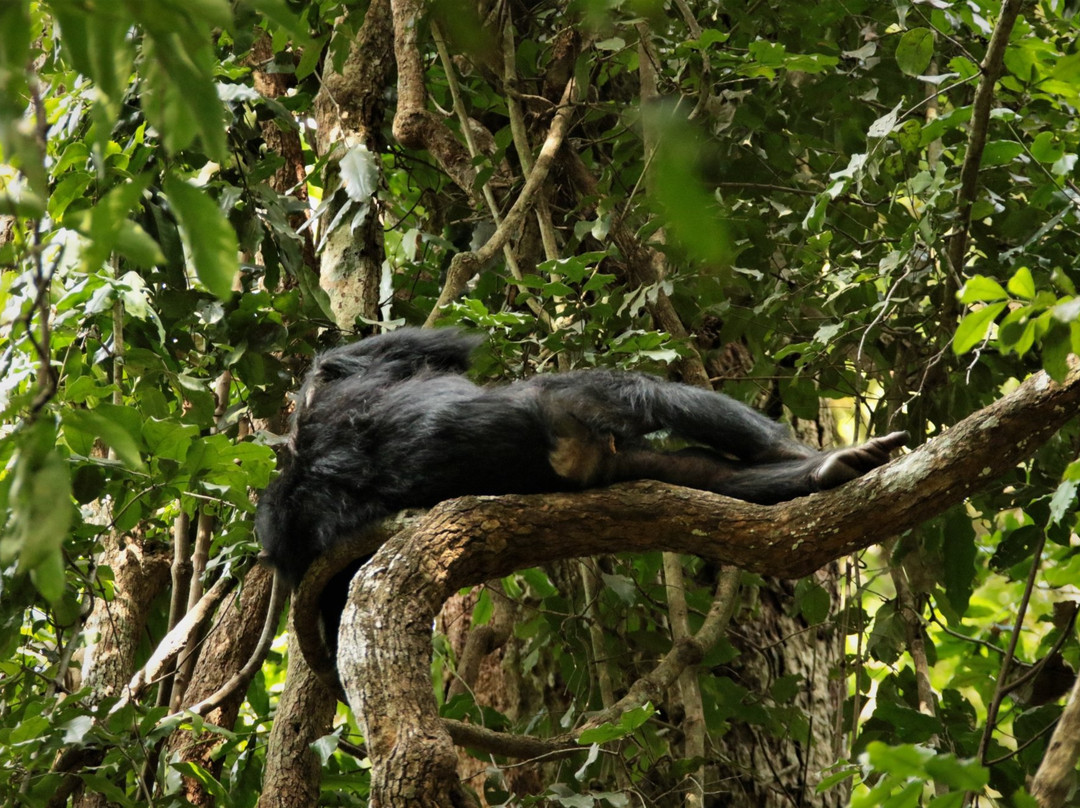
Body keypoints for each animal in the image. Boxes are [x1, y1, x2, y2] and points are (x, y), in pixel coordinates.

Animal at [257, 324, 907, 639]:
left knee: (705, 475)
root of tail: (573, 458)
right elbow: (436, 345)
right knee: (650, 394)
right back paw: (812, 457)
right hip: (574, 406)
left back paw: (812, 471)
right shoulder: (356, 378)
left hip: (610, 460)